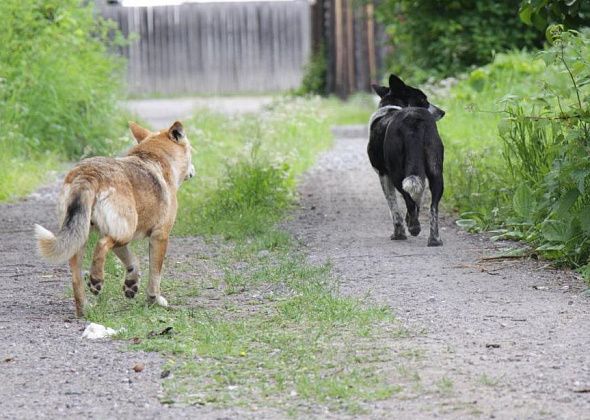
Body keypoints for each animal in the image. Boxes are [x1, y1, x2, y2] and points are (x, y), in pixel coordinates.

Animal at [34, 120, 195, 316]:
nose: (193, 171)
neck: (155, 158)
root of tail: (88, 174)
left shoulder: (120, 236)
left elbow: (133, 261)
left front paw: (131, 284)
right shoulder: (160, 236)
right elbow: (155, 275)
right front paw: (154, 300)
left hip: (85, 235)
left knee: (76, 276)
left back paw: (84, 308)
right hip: (125, 232)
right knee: (101, 245)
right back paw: (96, 279)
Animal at [368, 74, 446, 246]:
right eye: (423, 100)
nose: (442, 112)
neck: (394, 106)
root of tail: (412, 118)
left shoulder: (383, 175)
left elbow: (394, 207)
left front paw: (399, 232)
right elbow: (418, 199)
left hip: (397, 172)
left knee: (407, 200)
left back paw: (414, 228)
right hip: (435, 170)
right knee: (433, 206)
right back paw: (434, 239)